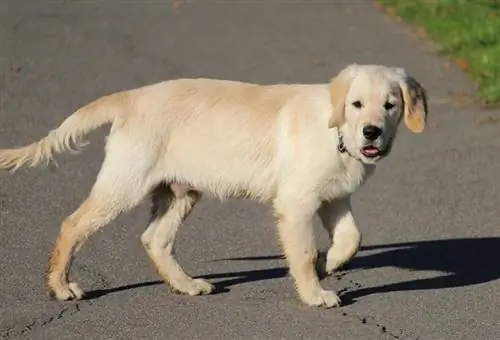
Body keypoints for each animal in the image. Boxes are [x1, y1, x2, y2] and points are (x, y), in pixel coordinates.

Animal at [0, 63, 428, 308]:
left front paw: (331, 263)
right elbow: (304, 252)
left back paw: (186, 285)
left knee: (155, 239)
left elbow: (352, 237)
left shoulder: (334, 196)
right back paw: (61, 287)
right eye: (356, 104)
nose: (371, 133)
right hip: (125, 182)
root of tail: (131, 97)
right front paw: (313, 292)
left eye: (390, 105)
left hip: (180, 190)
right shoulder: (297, 202)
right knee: (73, 225)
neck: (336, 131)